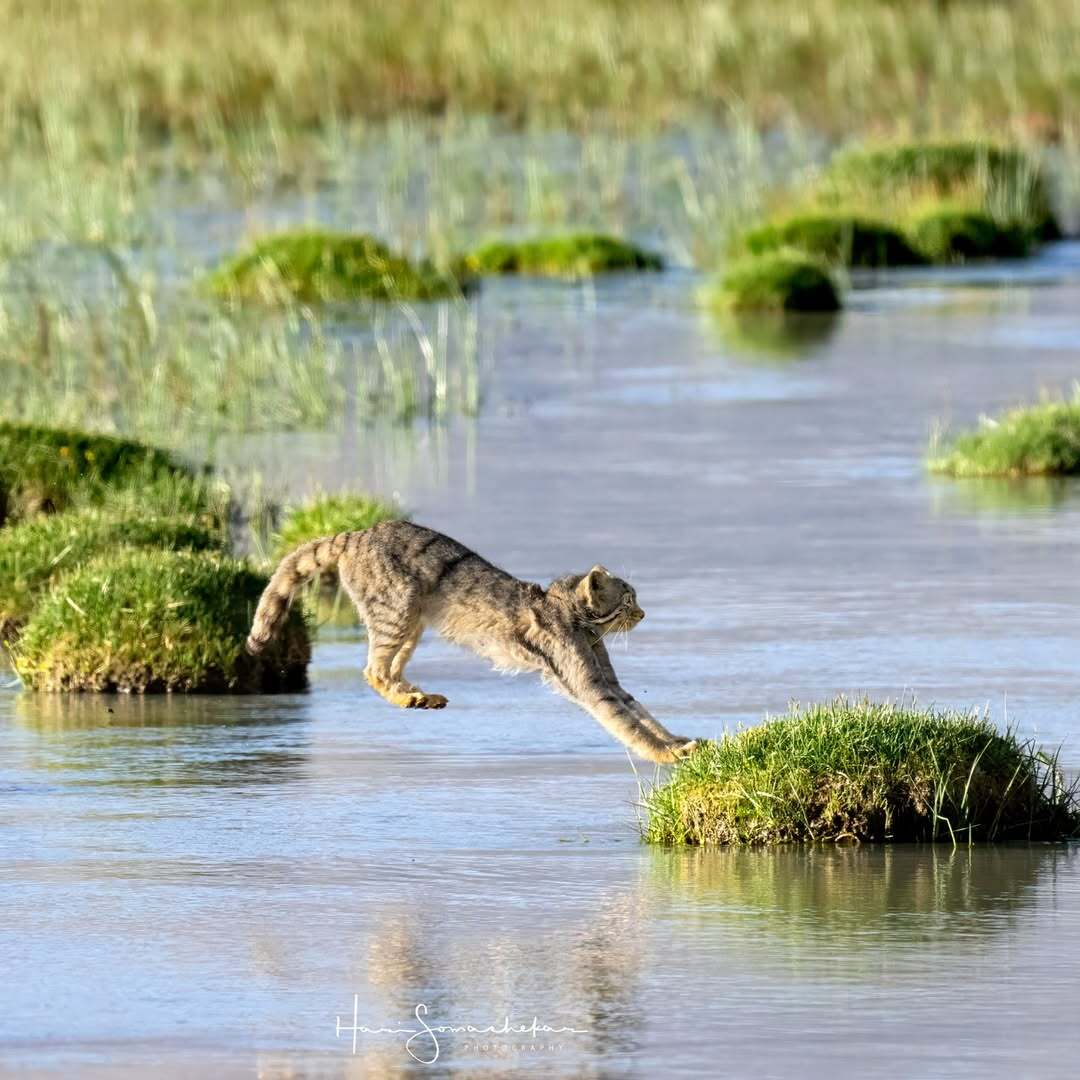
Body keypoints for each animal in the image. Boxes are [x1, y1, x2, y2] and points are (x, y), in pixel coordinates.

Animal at [244, 518, 695, 764]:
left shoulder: (608, 681)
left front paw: (677, 741)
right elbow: (628, 726)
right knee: (372, 670)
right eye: (628, 600)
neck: (572, 613)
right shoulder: (588, 685)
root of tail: (356, 533)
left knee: (390, 668)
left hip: (412, 622)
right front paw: (668, 754)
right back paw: (409, 698)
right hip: (396, 612)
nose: (644, 614)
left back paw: (420, 697)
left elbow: (641, 712)